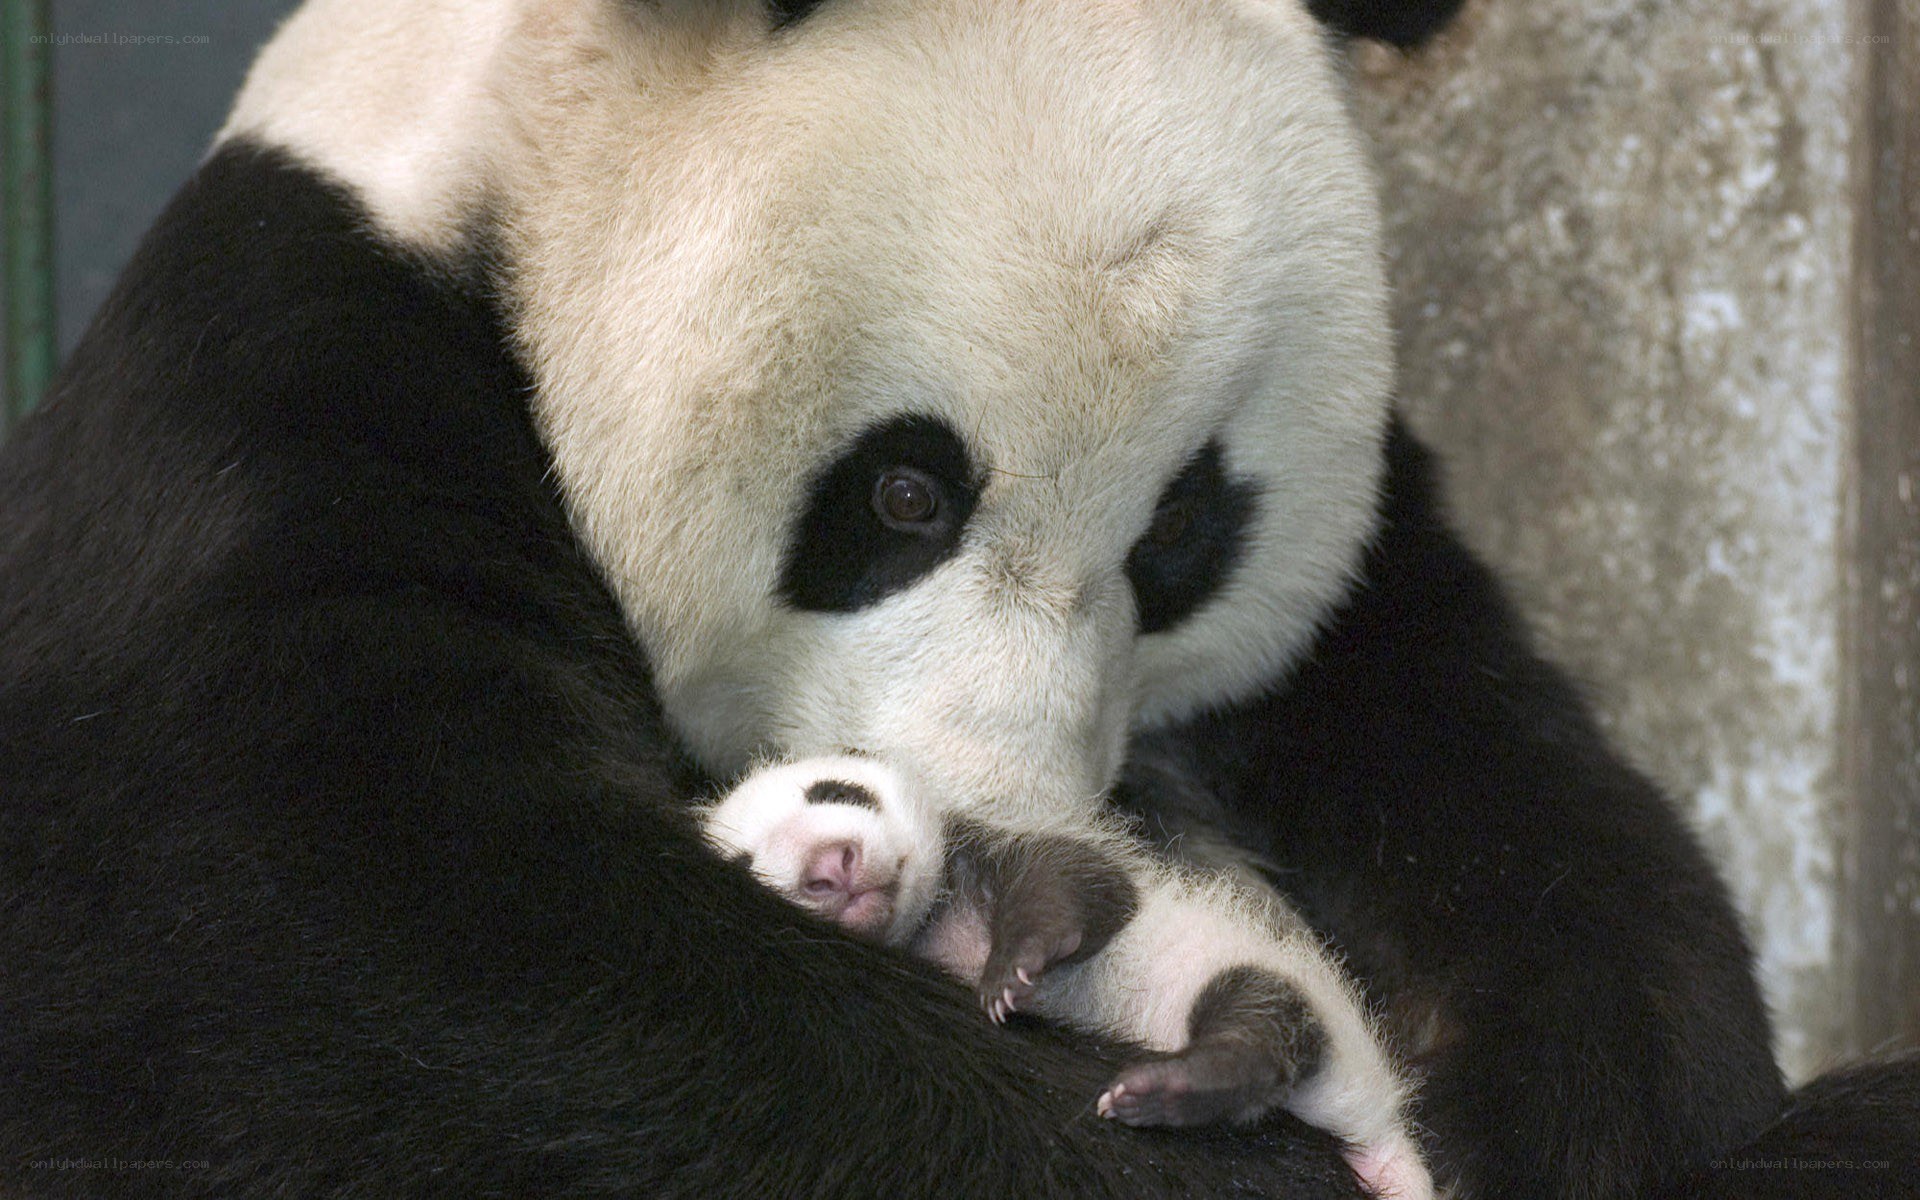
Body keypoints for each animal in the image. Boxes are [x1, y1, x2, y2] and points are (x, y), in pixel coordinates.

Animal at [1, 0, 1915, 1198]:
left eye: (1183, 537)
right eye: (905, 493)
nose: (999, 815)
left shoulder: (1368, 601)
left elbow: (1549, 850)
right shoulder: (270, 434)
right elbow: (416, 973)